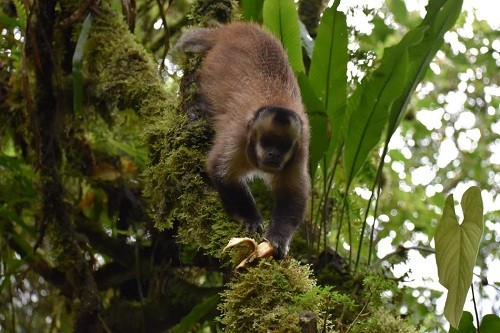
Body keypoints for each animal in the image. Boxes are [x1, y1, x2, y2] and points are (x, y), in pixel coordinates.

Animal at [176, 22, 308, 258]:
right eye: (267, 141)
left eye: (283, 146)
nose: (273, 154)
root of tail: (232, 29)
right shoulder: (239, 135)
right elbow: (220, 170)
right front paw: (250, 218)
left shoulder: (300, 149)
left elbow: (294, 195)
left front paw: (277, 239)